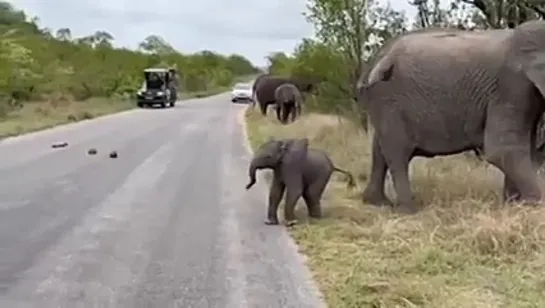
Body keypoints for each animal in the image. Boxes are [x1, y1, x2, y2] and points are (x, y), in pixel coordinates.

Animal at [354, 21, 544, 214]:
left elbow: (524, 146)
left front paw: (513, 204)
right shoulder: (510, 86)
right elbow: (501, 148)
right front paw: (532, 205)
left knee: (380, 148)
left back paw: (377, 203)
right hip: (388, 98)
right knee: (398, 152)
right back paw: (407, 211)